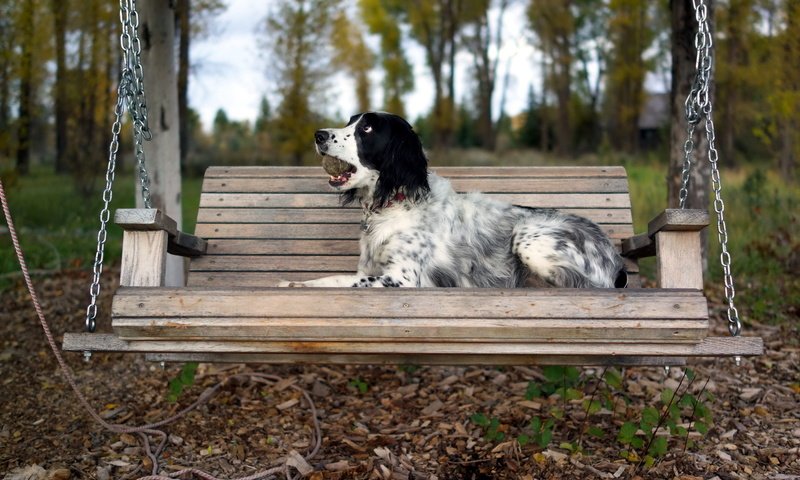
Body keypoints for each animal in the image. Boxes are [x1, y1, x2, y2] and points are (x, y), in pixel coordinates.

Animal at [280, 112, 624, 288]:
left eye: (366, 128)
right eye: (350, 121)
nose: (318, 134)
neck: (394, 203)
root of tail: (615, 256)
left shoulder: (403, 279)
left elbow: (338, 282)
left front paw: (297, 285)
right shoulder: (369, 269)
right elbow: (341, 277)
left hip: (528, 239)